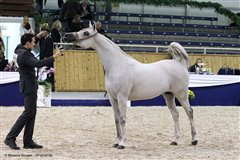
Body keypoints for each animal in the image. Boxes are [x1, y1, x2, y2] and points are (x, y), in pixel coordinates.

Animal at [63, 22, 197, 149]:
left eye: (86, 32)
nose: (66, 35)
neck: (117, 65)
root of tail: (178, 63)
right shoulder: (112, 98)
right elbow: (116, 119)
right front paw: (116, 142)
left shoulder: (122, 97)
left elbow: (123, 119)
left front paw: (122, 143)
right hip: (168, 95)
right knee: (175, 114)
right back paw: (175, 140)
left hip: (181, 94)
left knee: (189, 112)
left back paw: (194, 140)